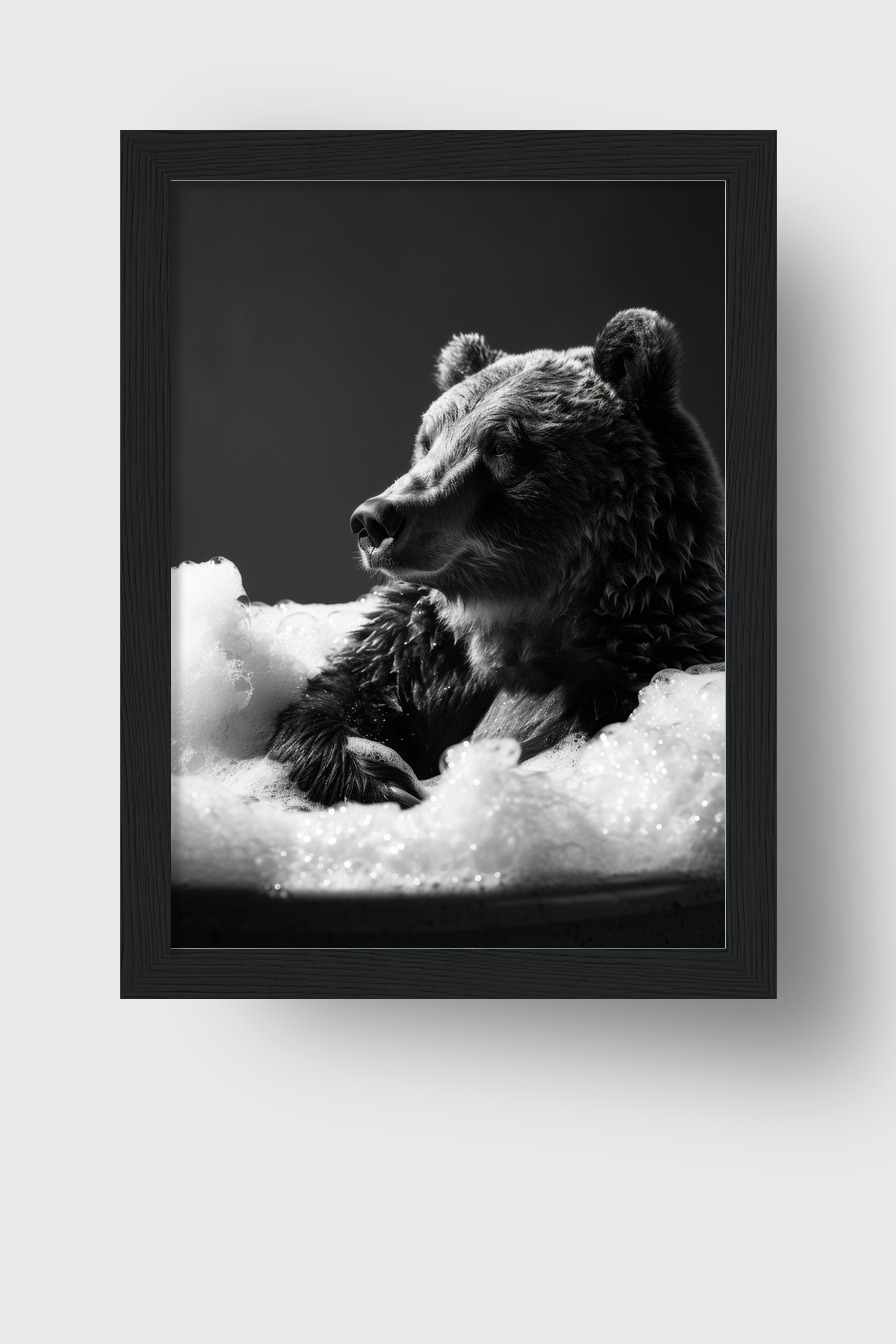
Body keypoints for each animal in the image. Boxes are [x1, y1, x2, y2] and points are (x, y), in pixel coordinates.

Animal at [268, 309, 725, 808]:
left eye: (503, 445)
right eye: (428, 439)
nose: (375, 519)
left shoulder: (635, 665)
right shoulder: (422, 653)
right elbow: (343, 693)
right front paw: (373, 769)